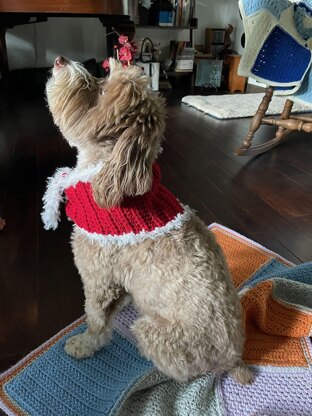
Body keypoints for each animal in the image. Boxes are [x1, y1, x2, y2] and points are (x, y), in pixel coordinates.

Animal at [43, 57, 254, 386]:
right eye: (103, 75)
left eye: (98, 93)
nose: (61, 60)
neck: (110, 179)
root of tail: (233, 358)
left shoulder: (98, 277)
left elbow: (95, 320)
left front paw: (85, 345)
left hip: (153, 333)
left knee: (187, 374)